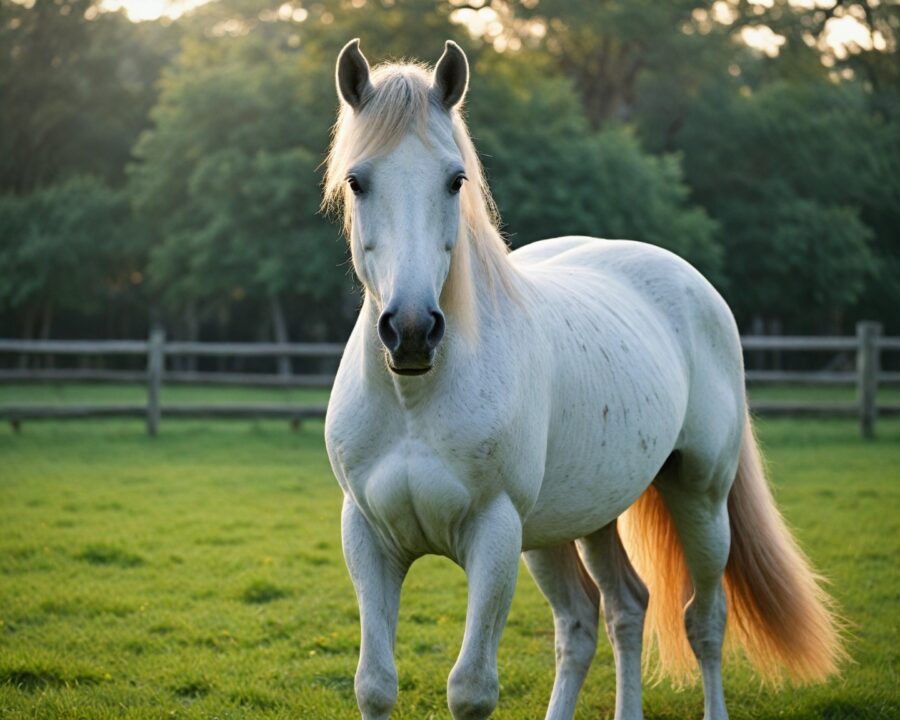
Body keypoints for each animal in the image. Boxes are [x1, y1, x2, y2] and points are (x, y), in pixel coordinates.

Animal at [322, 39, 844, 720]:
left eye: (455, 179)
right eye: (358, 181)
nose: (411, 331)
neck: (415, 402)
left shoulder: (494, 537)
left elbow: (471, 689)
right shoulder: (369, 539)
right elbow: (376, 684)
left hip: (699, 500)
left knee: (703, 620)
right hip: (577, 522)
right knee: (607, 614)